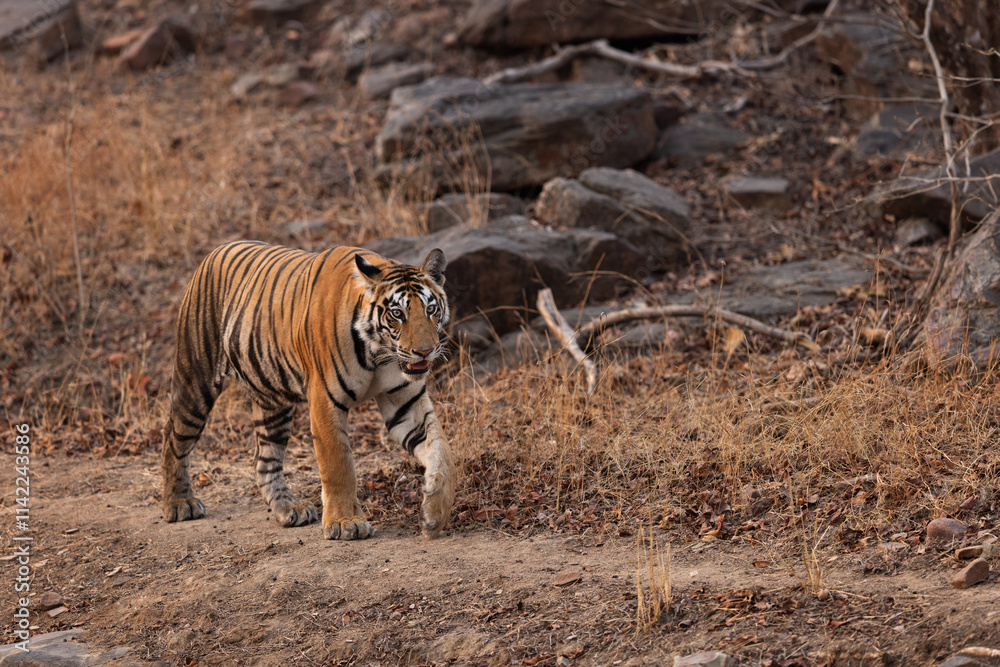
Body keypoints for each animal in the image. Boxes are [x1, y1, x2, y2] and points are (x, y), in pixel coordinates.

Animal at [161, 240, 456, 540]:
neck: (379, 353)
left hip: (273, 403)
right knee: (174, 439)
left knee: (264, 460)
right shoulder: (325, 399)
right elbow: (338, 464)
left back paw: (289, 508)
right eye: (397, 314)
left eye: (430, 310)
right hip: (195, 382)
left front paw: (434, 514)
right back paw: (179, 503)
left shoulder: (405, 401)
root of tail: (216, 249)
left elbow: (441, 450)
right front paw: (345, 522)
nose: (425, 351)